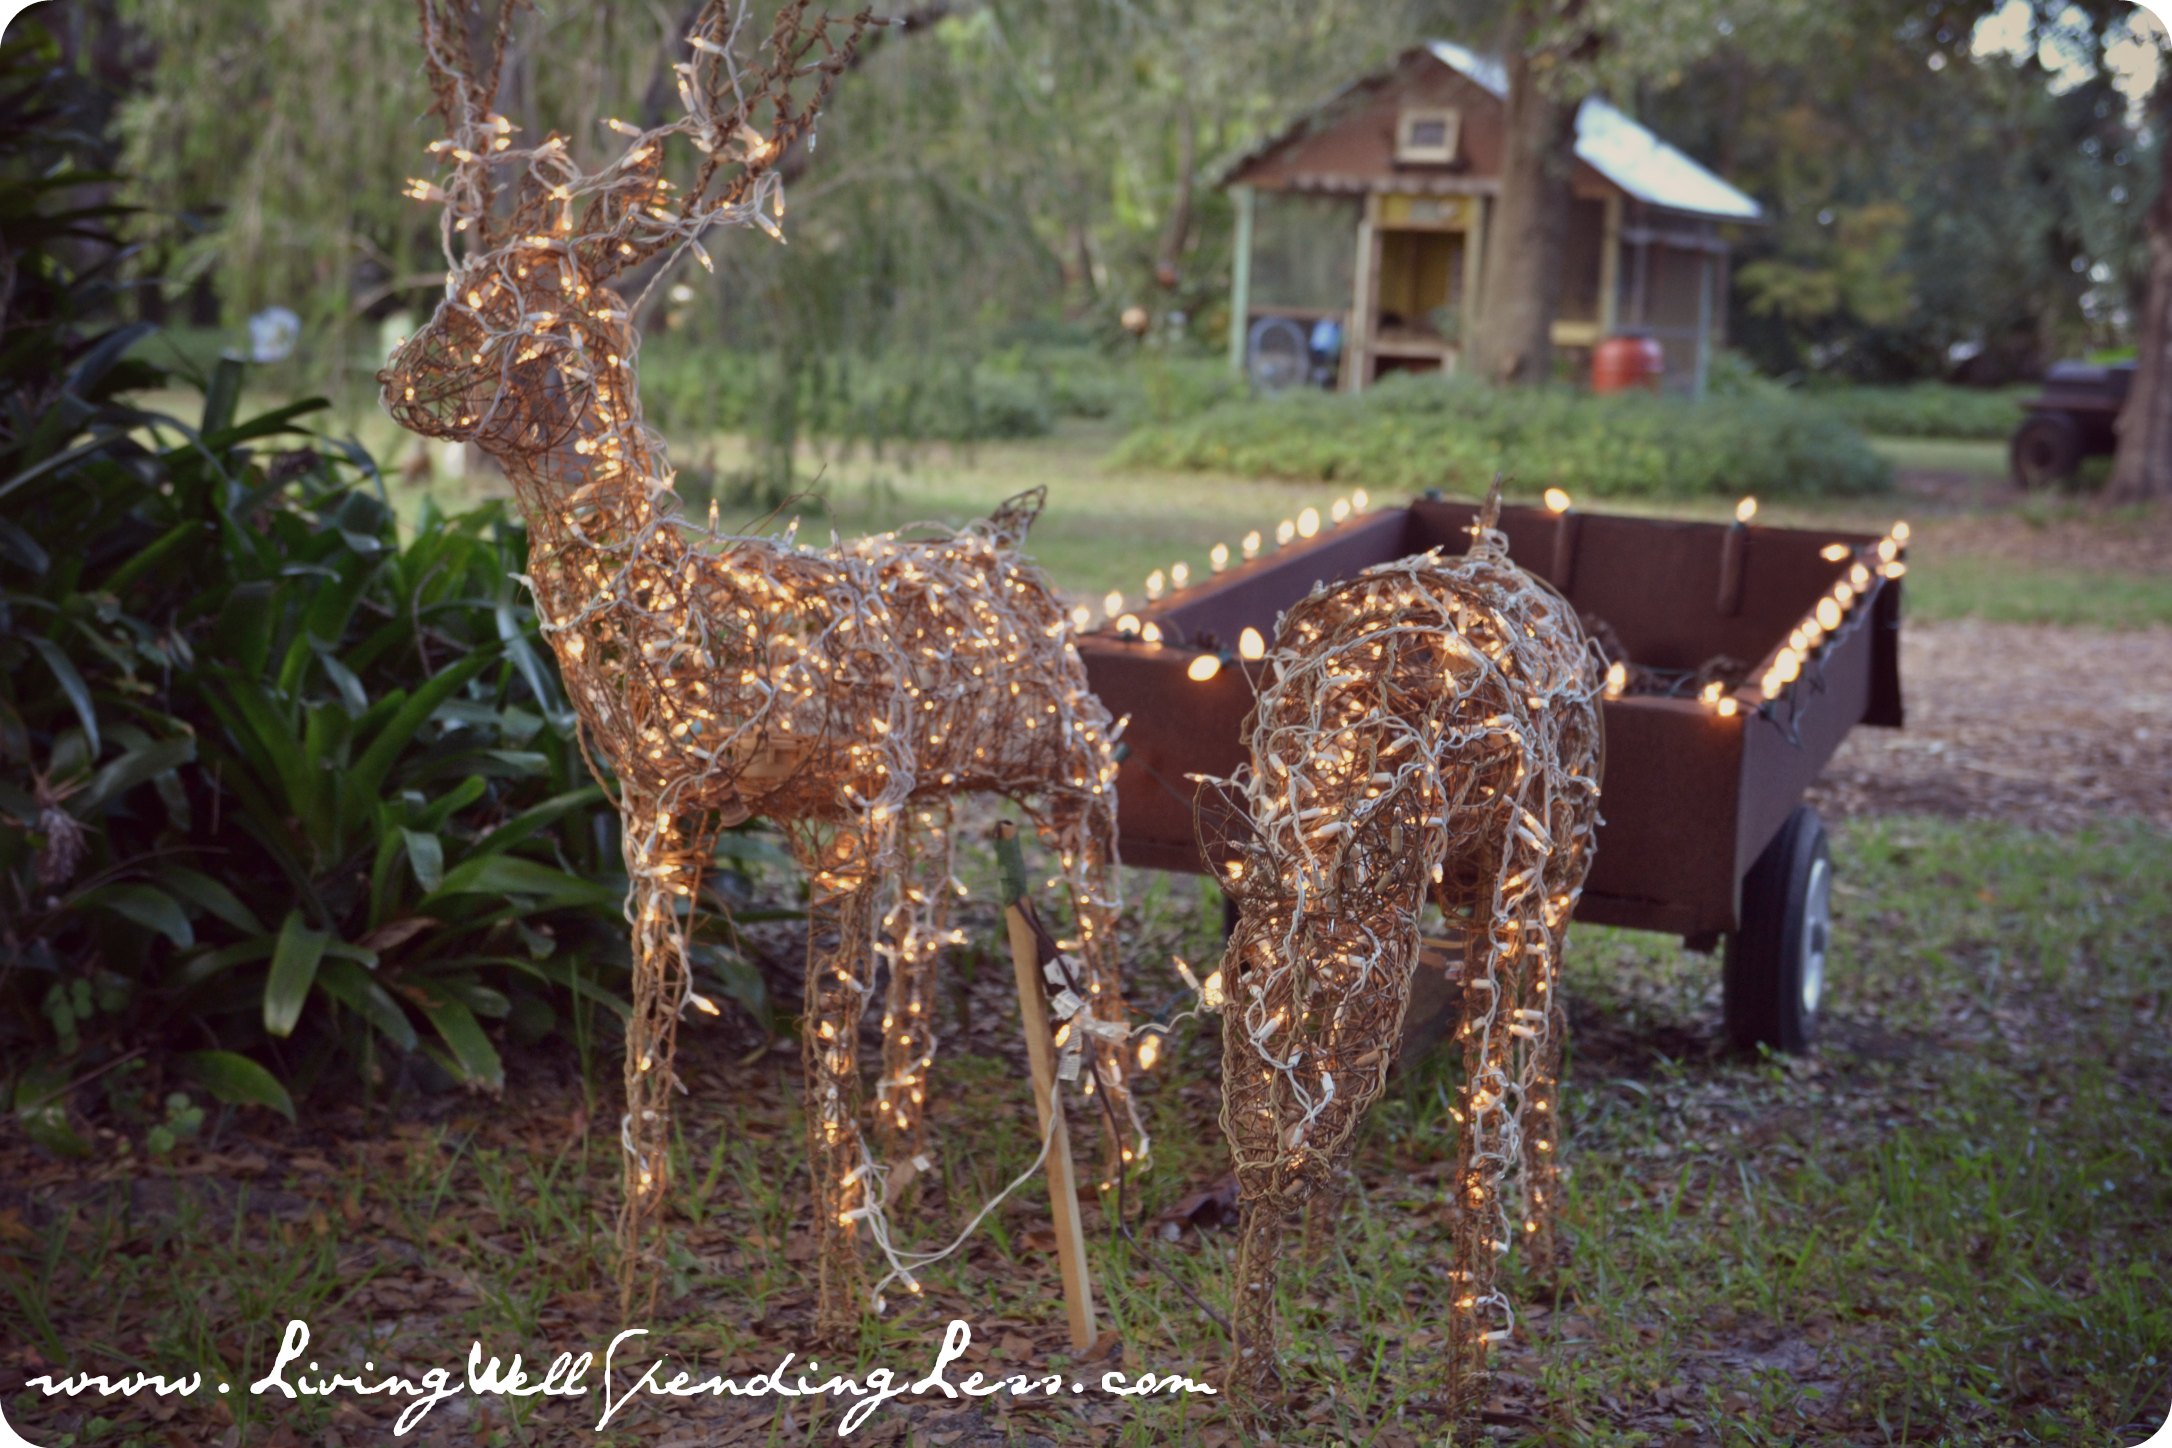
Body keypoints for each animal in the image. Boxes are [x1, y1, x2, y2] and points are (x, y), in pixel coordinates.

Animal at [378, 0, 1142, 1334]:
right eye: (452, 291)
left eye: (519, 306)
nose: (396, 375)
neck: (688, 617)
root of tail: (1013, 545)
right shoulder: (664, 813)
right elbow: (648, 1048)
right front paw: (629, 1295)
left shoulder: (839, 807)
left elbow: (813, 1050)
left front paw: (839, 1312)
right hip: (936, 799)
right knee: (932, 944)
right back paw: (922, 1163)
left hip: (1070, 766)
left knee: (1097, 935)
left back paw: (1135, 1177)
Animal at [1207, 486, 1604, 1412]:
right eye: (1237, 973)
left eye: (1346, 989)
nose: (1267, 1153)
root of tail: (1491, 545)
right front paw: (1254, 1379)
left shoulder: (1505, 892)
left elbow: (1480, 1123)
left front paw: (1466, 1392)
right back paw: (1321, 1258)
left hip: (1558, 882)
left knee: (1546, 1041)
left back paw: (1545, 1258)